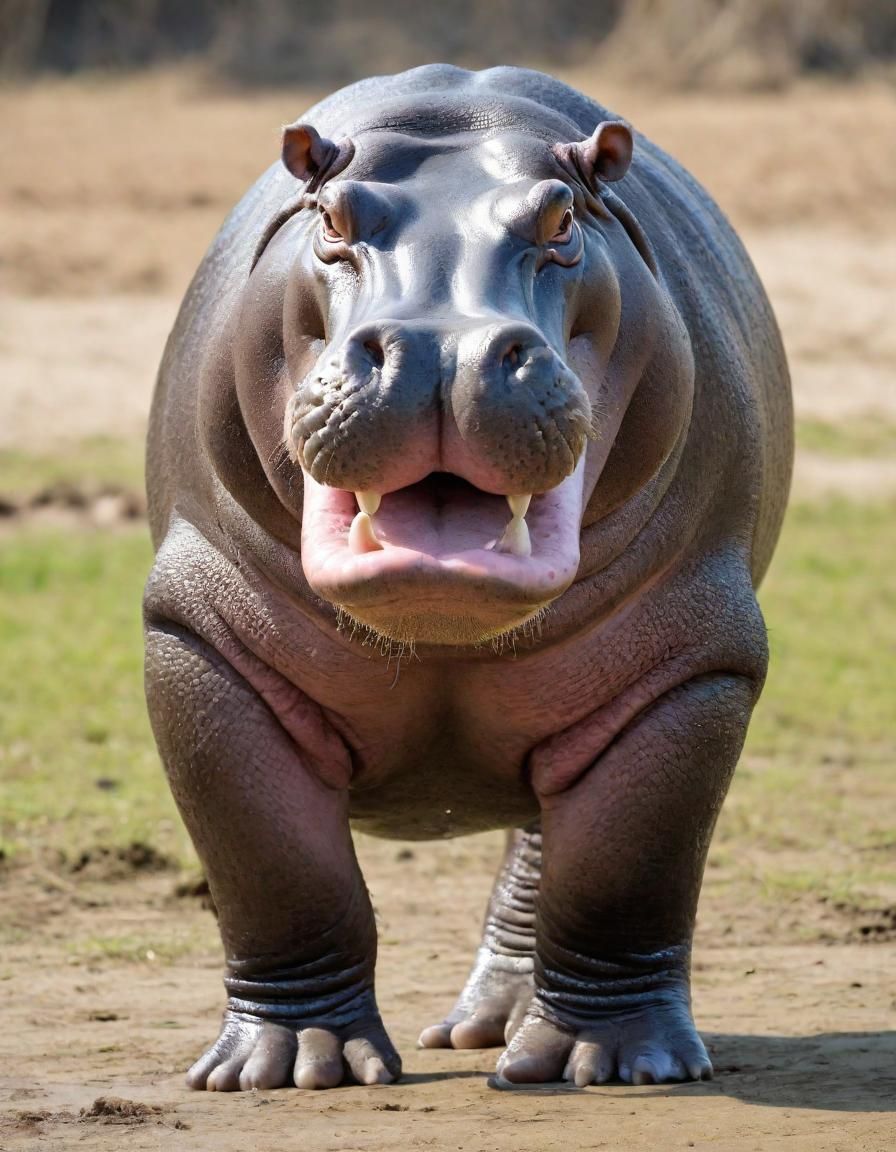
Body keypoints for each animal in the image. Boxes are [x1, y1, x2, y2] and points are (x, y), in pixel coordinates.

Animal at [144, 64, 792, 1091]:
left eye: (562, 219)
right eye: (332, 216)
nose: (443, 347)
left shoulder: (693, 667)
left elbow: (625, 868)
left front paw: (614, 1062)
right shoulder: (199, 640)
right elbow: (275, 866)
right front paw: (287, 1065)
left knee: (542, 856)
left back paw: (511, 1034)